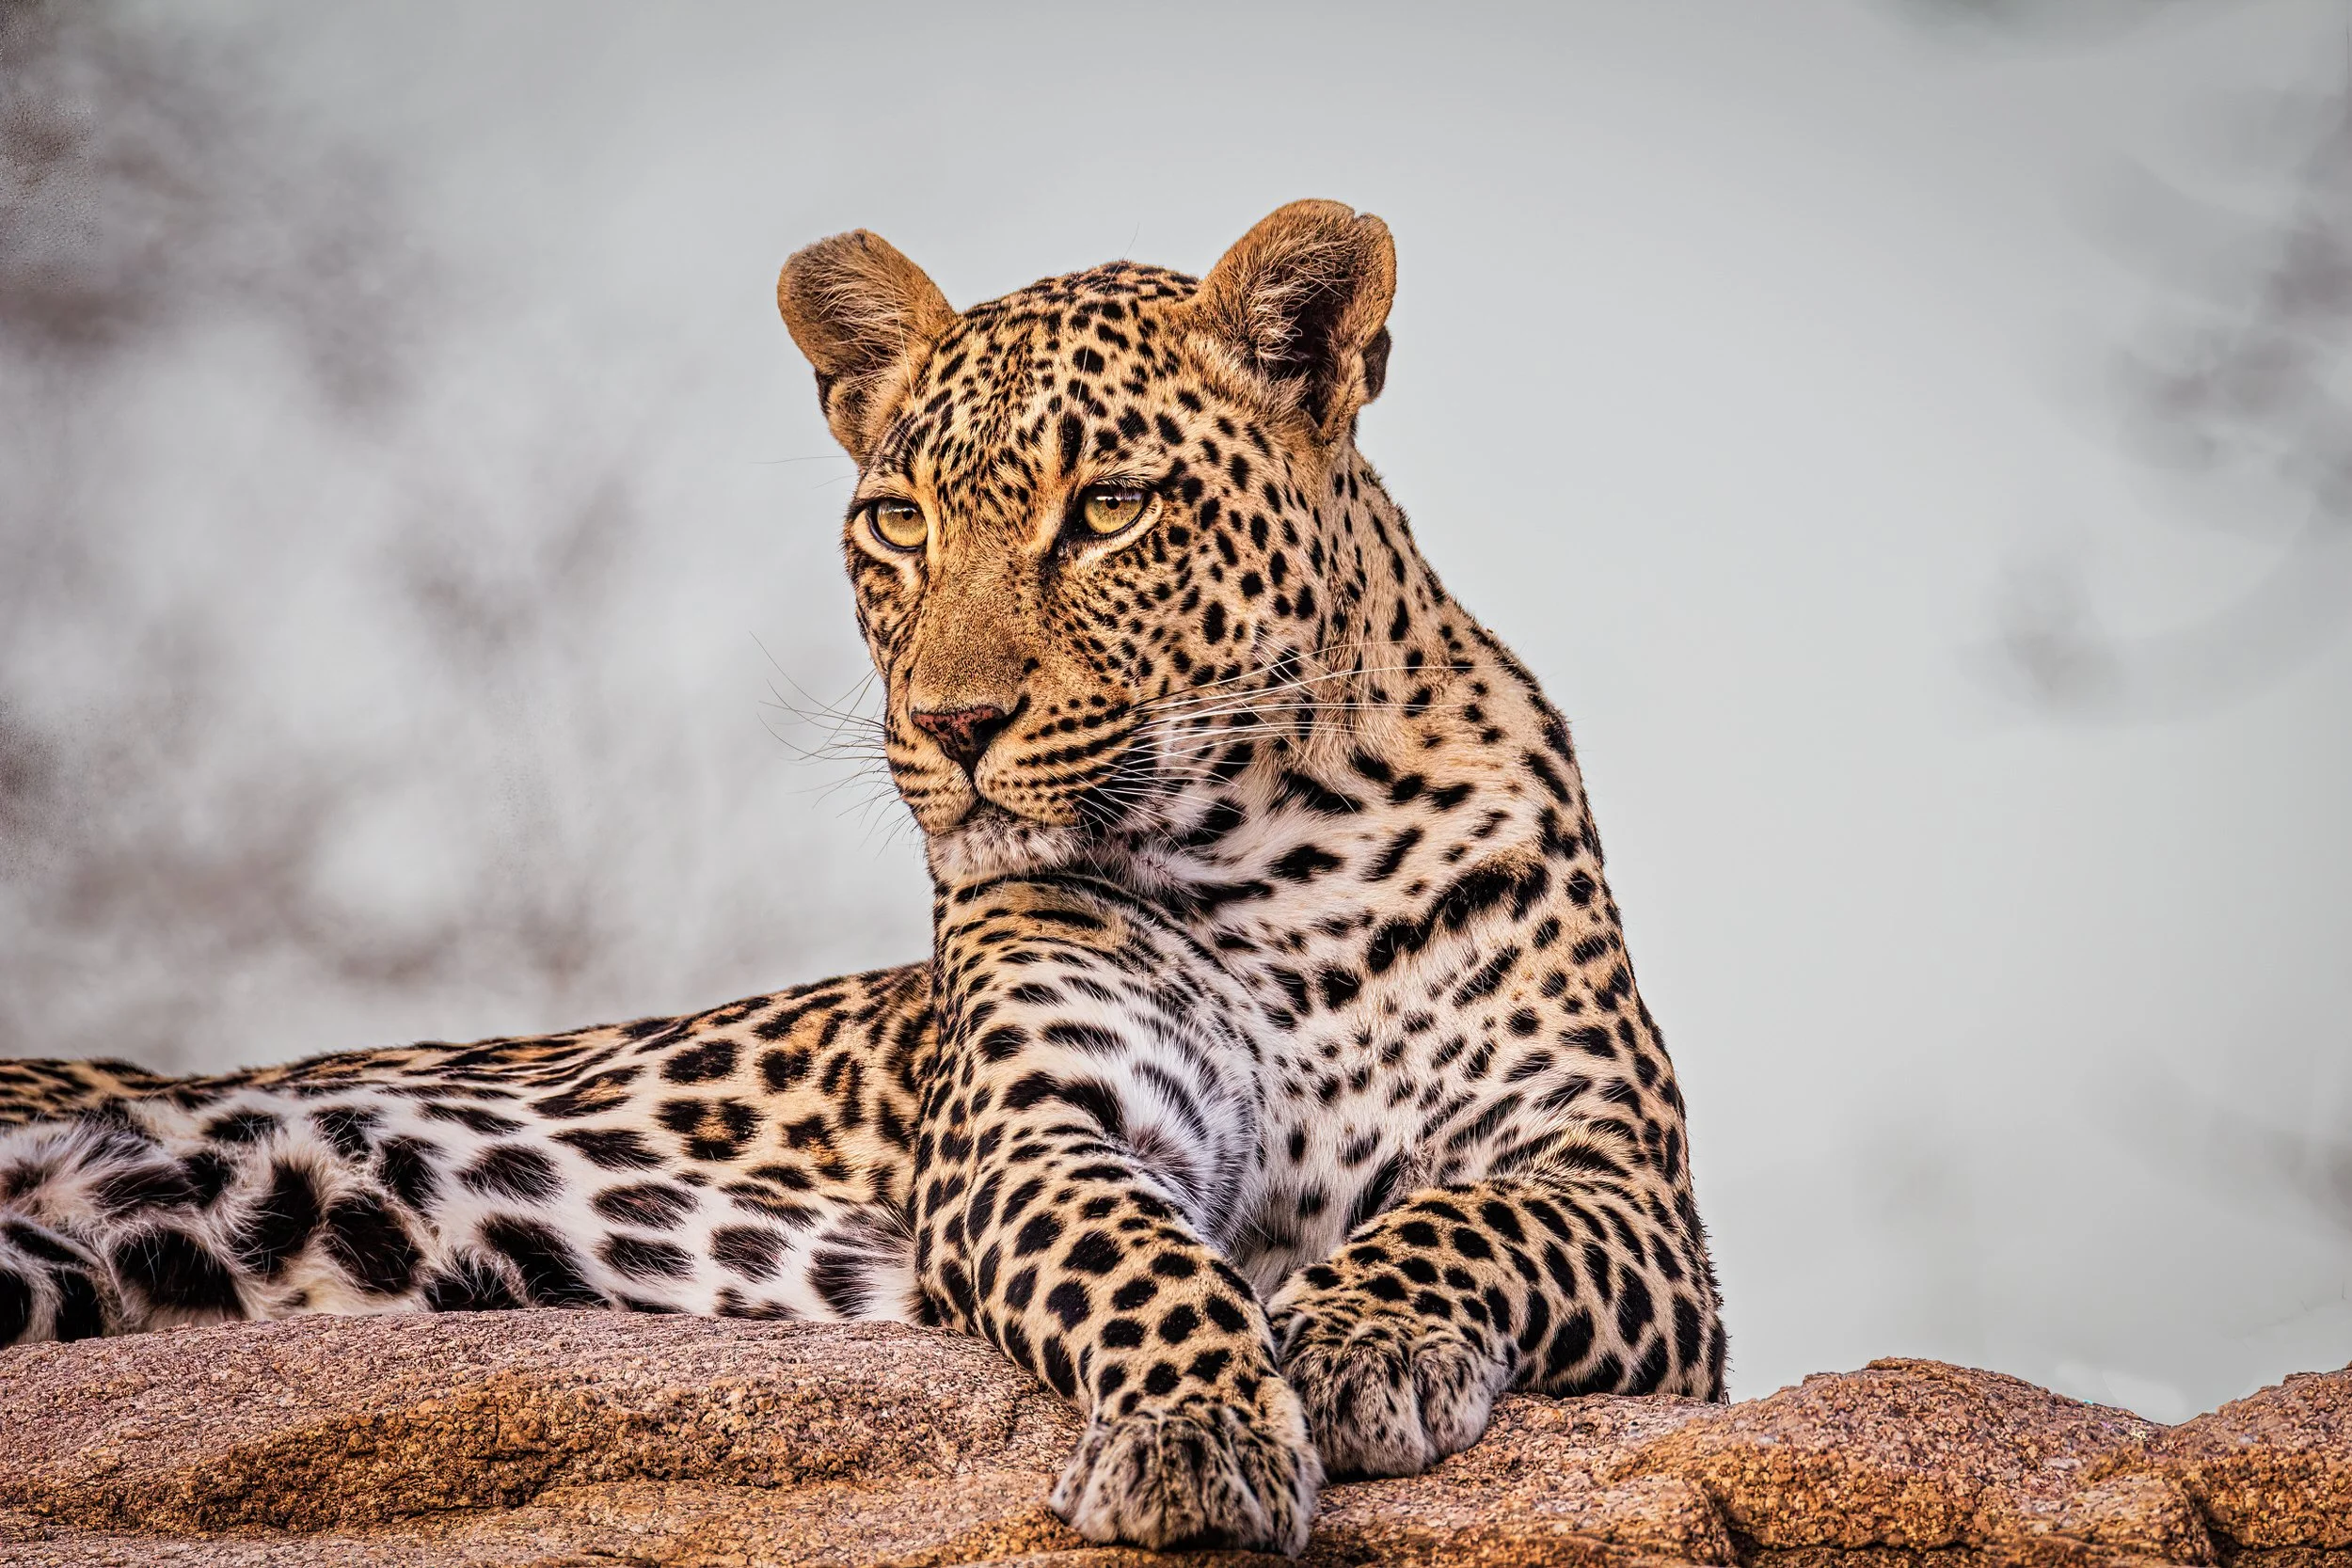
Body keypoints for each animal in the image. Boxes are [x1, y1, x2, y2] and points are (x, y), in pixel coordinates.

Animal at [0, 201, 1726, 1557]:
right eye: (898, 521)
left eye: (1111, 507)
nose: (952, 725)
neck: (1270, 853)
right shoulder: (1034, 1129)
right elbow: (1146, 1263)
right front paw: (1196, 1431)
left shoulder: (1621, 1180)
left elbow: (1476, 1216)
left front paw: (1363, 1335)